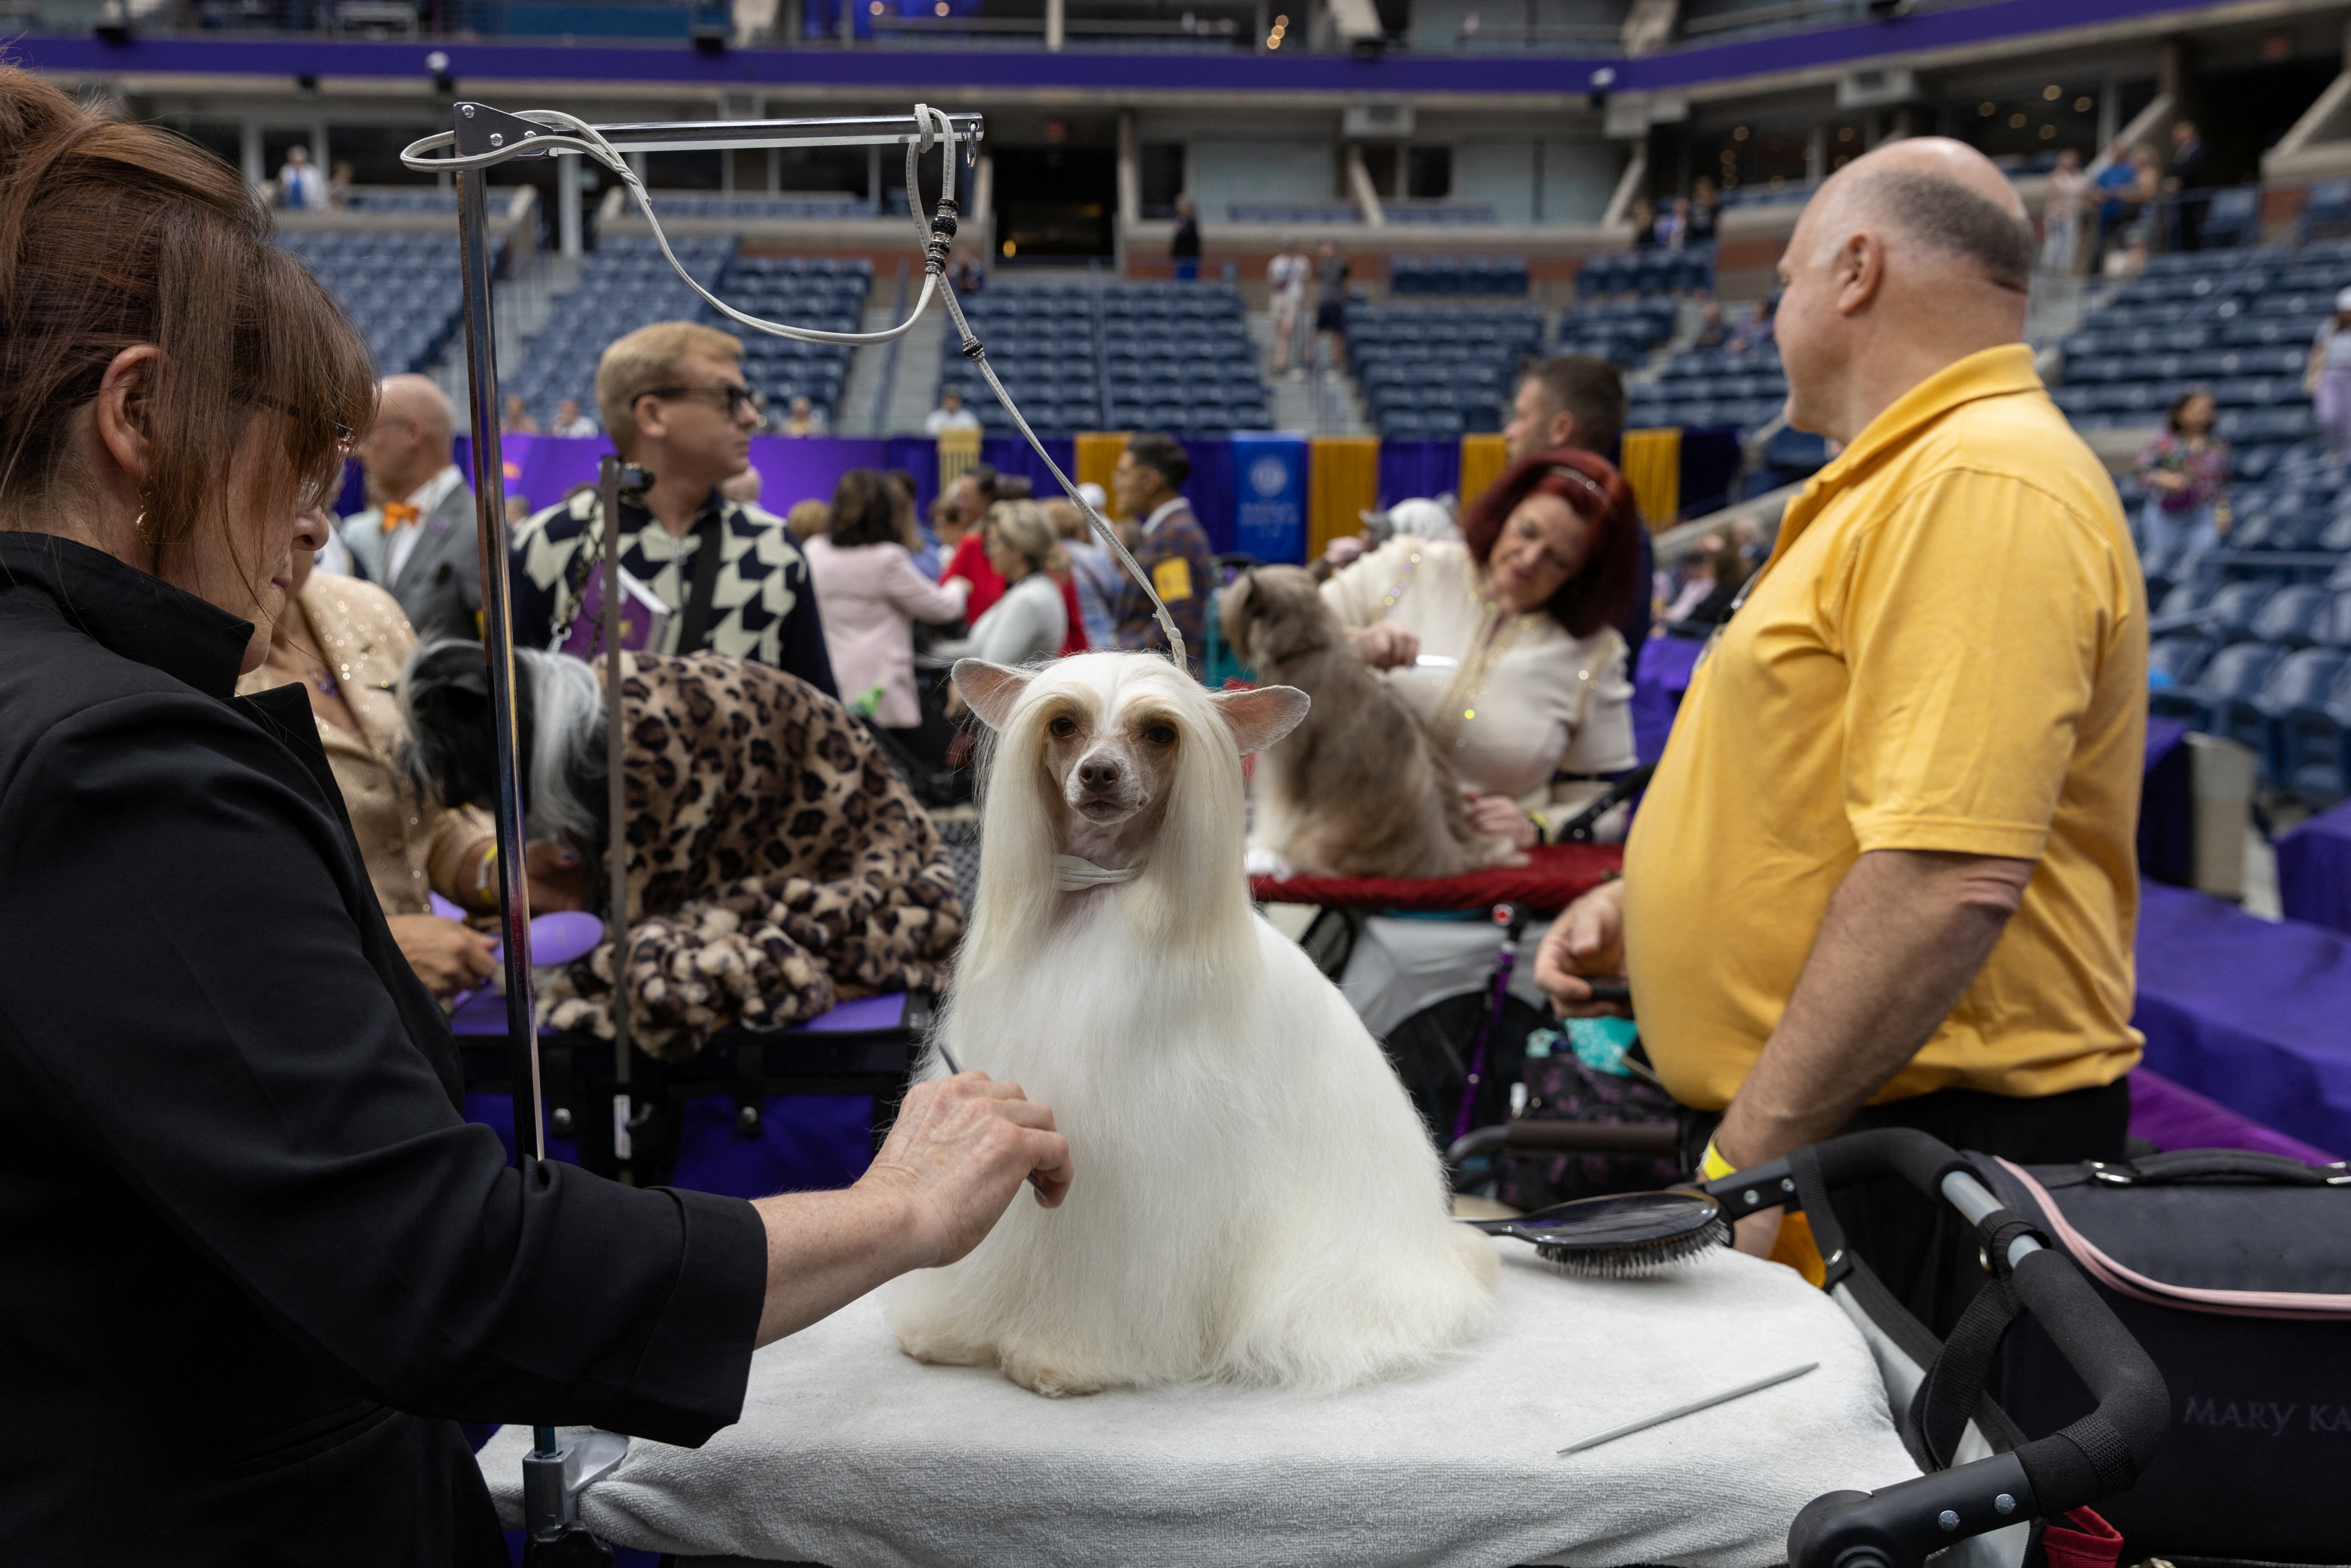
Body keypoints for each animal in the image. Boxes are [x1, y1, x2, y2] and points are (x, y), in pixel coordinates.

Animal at [889, 648, 1495, 1401]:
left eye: (1159, 732)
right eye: (1063, 723)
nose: (1098, 772)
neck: (1099, 903)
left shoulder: (1141, 1168)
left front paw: (1064, 1357)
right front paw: (953, 1332)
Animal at [1223, 566, 1514, 884]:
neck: (1310, 647)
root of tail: (1446, 856)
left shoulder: (1286, 767)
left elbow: (1277, 814)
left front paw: (1263, 847)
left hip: (1316, 838)